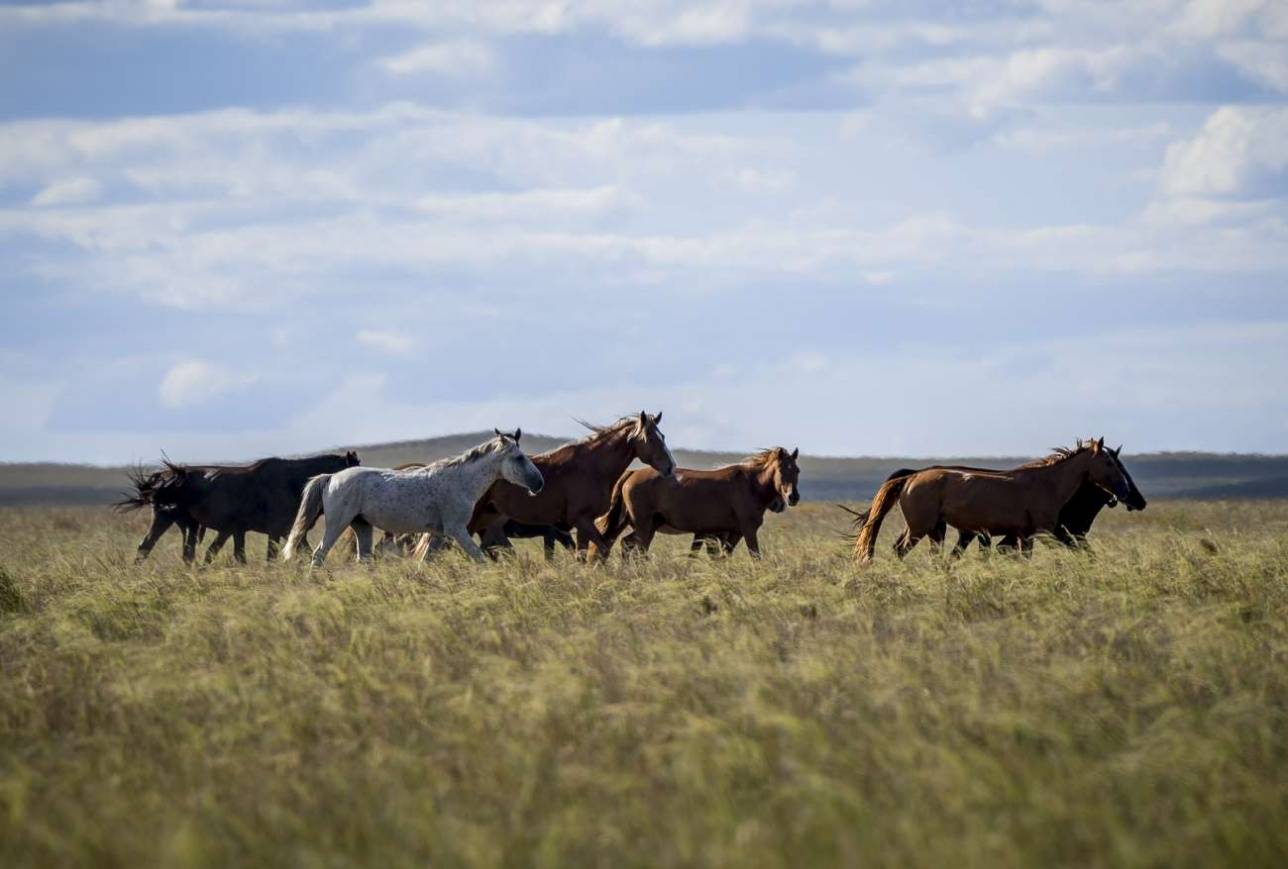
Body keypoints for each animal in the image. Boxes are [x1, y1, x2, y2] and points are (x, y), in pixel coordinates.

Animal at [116, 453, 360, 566]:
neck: (295, 481)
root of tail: (165, 477)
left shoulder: (282, 531)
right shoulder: (279, 530)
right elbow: (272, 556)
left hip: (185, 524)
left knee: (162, 549)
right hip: (171, 520)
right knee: (152, 547)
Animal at [282, 432, 543, 566]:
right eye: (519, 458)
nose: (538, 483)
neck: (460, 481)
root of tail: (332, 478)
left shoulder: (439, 534)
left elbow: (424, 562)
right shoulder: (457, 529)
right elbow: (479, 559)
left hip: (362, 526)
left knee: (363, 560)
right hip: (337, 524)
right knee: (319, 555)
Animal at [466, 411, 685, 558]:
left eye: (663, 436)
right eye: (650, 438)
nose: (670, 467)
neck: (591, 467)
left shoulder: (580, 526)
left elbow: (584, 554)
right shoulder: (582, 520)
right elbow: (599, 550)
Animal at [595, 445, 798, 561]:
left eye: (797, 470)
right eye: (781, 470)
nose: (792, 498)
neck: (751, 485)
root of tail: (631, 474)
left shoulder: (730, 534)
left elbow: (722, 558)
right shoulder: (746, 530)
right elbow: (755, 556)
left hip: (646, 526)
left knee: (625, 545)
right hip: (644, 526)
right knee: (636, 550)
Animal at [855, 435, 1138, 563]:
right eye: (1110, 462)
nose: (1126, 493)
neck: (1047, 483)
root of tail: (911, 477)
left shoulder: (1025, 535)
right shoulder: (1046, 533)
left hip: (930, 528)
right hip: (920, 528)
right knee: (901, 550)